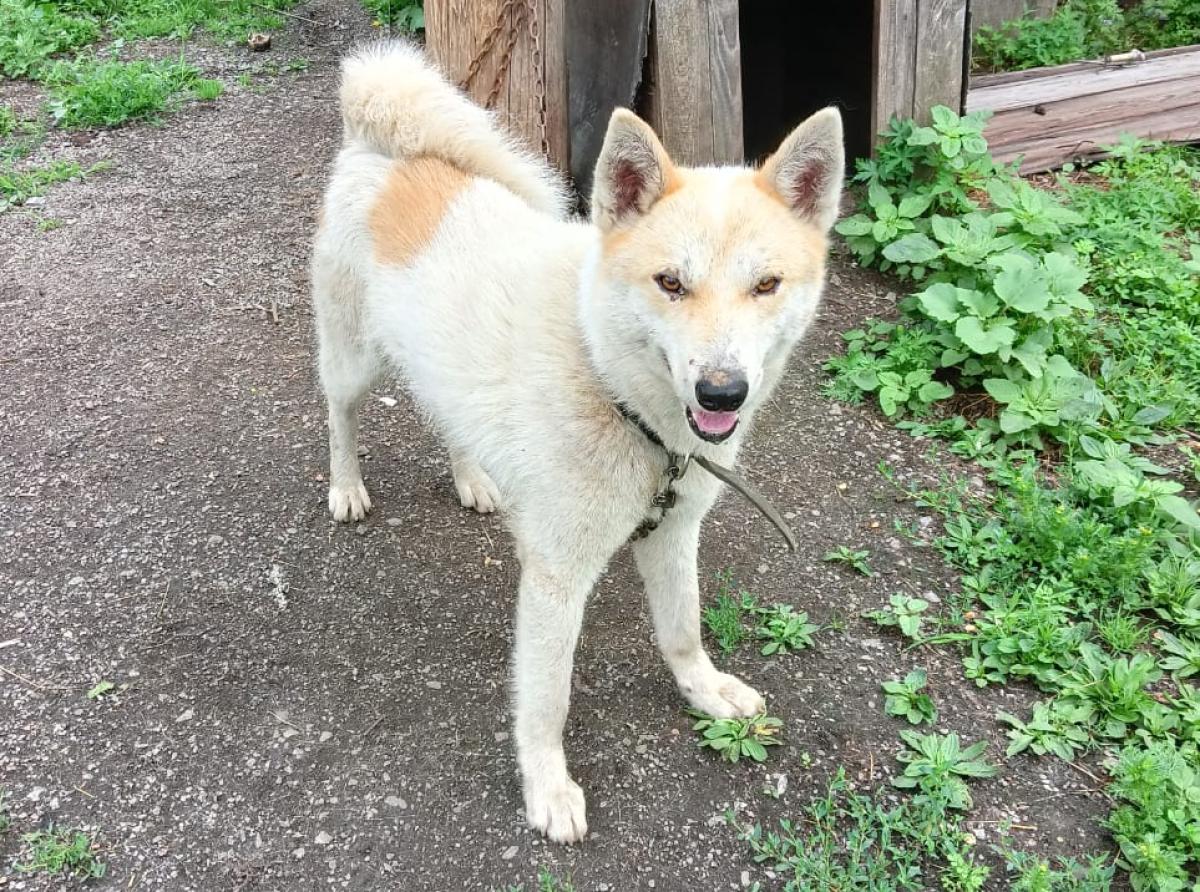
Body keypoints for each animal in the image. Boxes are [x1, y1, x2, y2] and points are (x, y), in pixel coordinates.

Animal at [314, 42, 849, 845]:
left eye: (767, 285)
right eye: (670, 283)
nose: (722, 393)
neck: (615, 389)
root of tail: (379, 144)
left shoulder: (675, 535)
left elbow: (684, 631)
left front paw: (705, 690)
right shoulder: (557, 579)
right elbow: (547, 701)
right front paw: (547, 786)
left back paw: (473, 478)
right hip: (351, 361)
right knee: (341, 418)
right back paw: (346, 486)